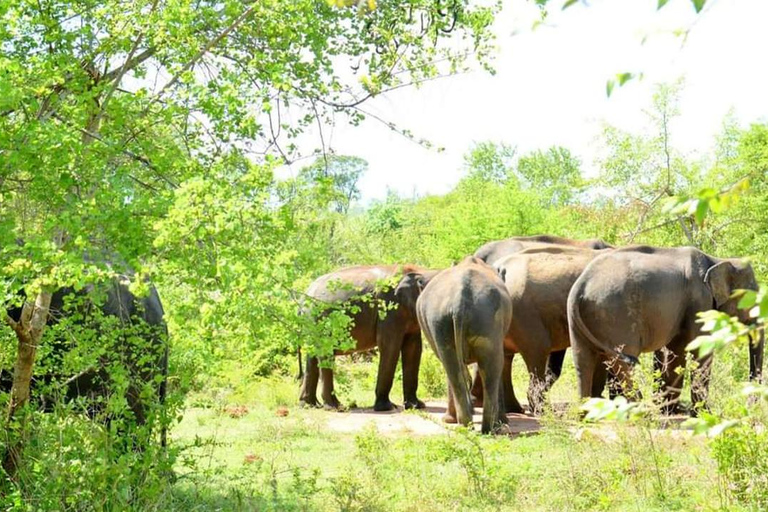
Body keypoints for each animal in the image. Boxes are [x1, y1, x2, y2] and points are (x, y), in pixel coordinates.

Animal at [296, 264, 436, 412]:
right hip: (319, 320)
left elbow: (413, 349)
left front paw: (416, 406)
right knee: (324, 353)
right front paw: (387, 408)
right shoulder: (388, 308)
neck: (420, 270)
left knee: (312, 357)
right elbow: (390, 347)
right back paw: (335, 407)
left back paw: (309, 405)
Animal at [414, 255, 510, 432]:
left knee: (454, 367)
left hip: (444, 321)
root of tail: (460, 300)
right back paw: (489, 427)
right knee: (491, 365)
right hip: (481, 321)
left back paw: (469, 425)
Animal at [564, 244, 760, 412]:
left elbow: (677, 349)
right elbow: (699, 347)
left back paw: (585, 416)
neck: (717, 260)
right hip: (616, 317)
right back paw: (639, 410)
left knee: (583, 361)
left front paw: (670, 411)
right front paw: (704, 414)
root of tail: (580, 286)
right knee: (622, 360)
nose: (750, 406)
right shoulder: (699, 300)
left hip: (582, 320)